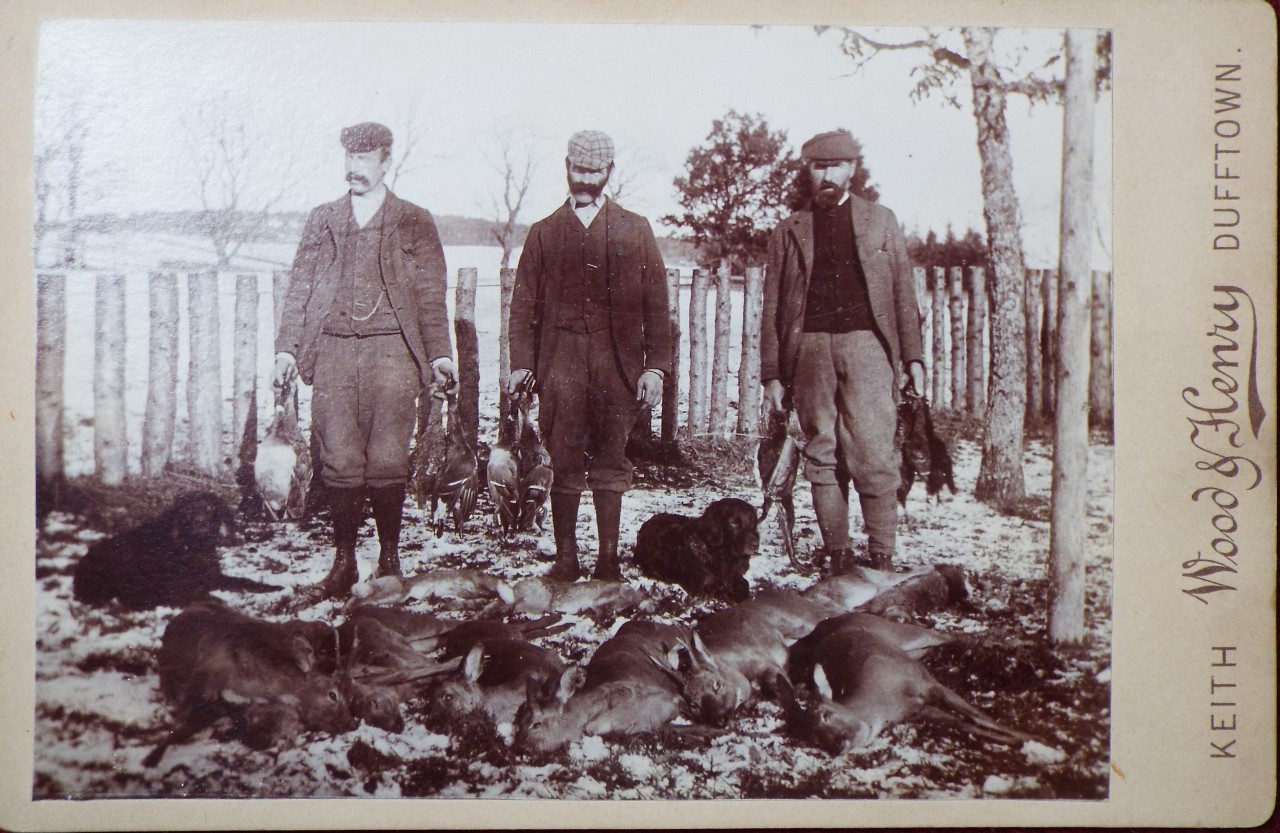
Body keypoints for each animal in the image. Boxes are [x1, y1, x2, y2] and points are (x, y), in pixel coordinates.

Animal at [73, 488, 281, 611]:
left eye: (209, 508)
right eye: (188, 511)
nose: (200, 523)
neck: (192, 548)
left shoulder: (212, 577)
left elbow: (243, 581)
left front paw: (273, 587)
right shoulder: (175, 587)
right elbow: (198, 596)